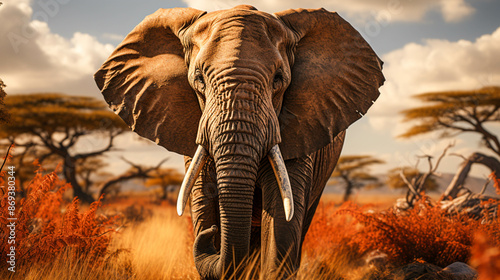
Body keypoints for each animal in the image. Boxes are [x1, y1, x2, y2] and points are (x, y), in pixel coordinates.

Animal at [93, 3, 382, 278]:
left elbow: (281, 219)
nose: (209, 234)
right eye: (199, 79)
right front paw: (211, 228)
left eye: (278, 80)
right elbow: (202, 195)